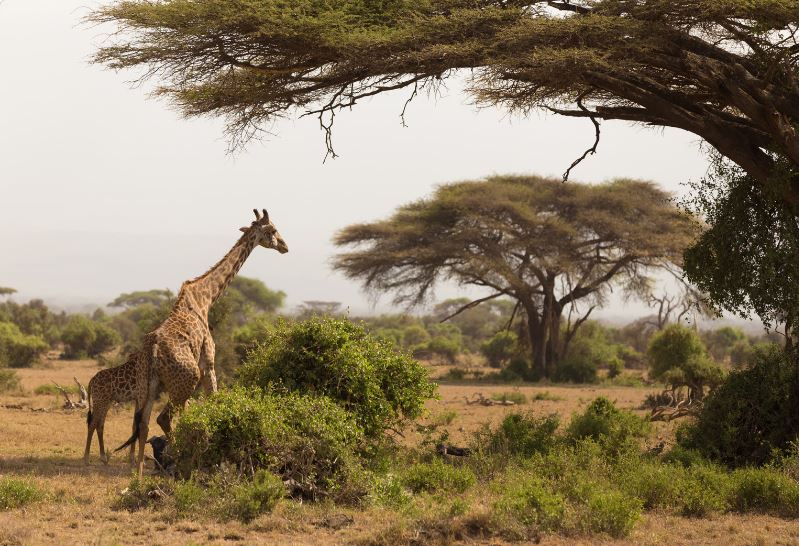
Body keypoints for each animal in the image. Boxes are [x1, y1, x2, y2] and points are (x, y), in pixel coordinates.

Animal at [115, 208, 290, 472]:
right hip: (186, 380)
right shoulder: (208, 362)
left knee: (142, 424)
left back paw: (139, 474)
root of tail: (153, 350)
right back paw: (179, 460)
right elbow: (214, 402)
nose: (285, 246)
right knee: (165, 417)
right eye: (273, 230)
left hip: (147, 385)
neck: (205, 299)